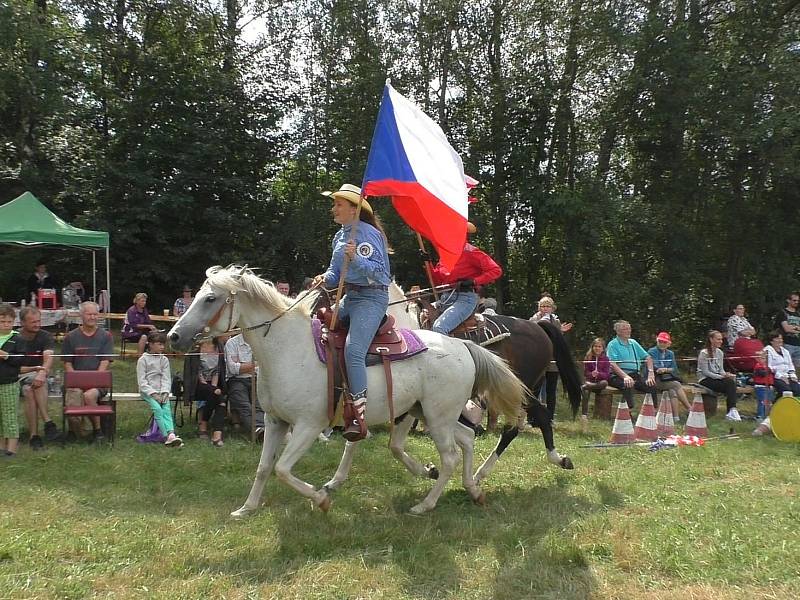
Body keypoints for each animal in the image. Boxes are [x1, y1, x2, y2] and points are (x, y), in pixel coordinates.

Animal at [169, 268, 524, 516]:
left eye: (210, 299)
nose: (174, 336)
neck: (289, 348)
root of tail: (463, 345)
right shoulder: (273, 421)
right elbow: (264, 467)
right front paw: (247, 508)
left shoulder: (308, 425)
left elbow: (283, 469)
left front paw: (322, 499)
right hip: (429, 414)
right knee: (466, 440)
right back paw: (473, 489)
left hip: (437, 417)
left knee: (450, 456)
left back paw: (425, 504)